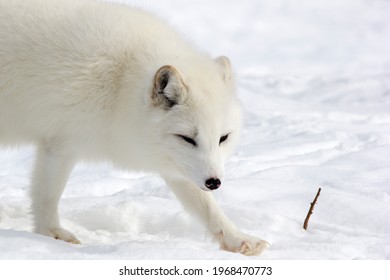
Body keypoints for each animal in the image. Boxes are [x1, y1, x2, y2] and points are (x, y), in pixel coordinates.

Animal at [0, 0, 268, 255]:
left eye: (223, 138)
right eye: (187, 138)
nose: (214, 182)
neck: (120, 82)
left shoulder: (174, 163)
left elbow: (207, 206)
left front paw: (238, 239)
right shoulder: (60, 144)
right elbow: (48, 195)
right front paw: (50, 235)